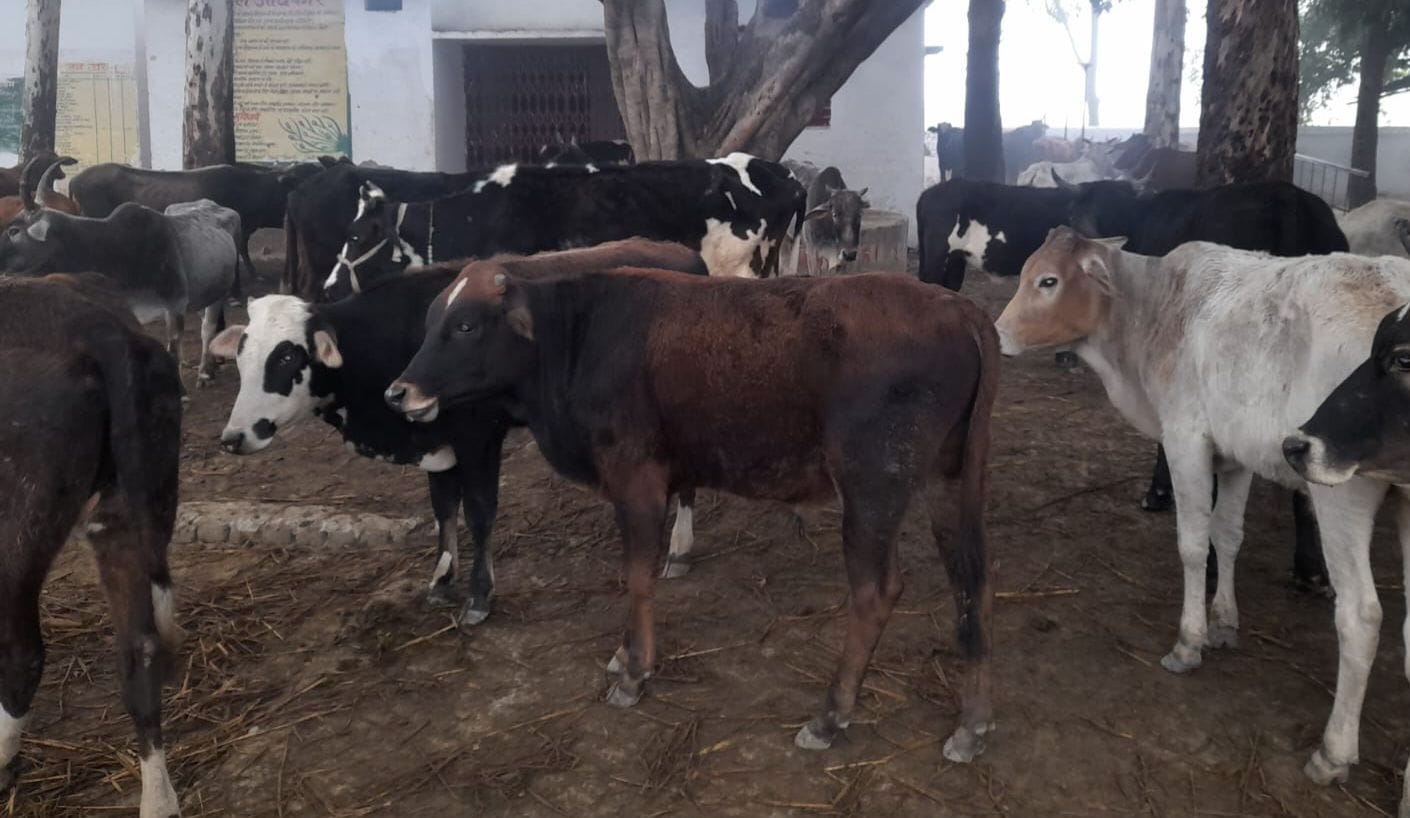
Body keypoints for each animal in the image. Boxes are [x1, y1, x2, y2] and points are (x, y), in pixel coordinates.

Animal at [0, 201, 238, 381]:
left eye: (14, 231)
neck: (114, 249)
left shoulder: (175, 303)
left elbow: (172, 348)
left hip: (219, 291)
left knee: (207, 329)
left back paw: (205, 372)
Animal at [0, 275, 184, 818]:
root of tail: (92, 322)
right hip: (132, 509)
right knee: (139, 649)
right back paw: (159, 800)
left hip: (17, 524)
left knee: (24, 653)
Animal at [210, 240, 709, 623]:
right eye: (242, 355)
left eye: (287, 357)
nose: (234, 437)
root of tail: (681, 253)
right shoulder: (436, 443)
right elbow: (443, 510)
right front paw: (441, 579)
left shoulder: (479, 441)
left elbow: (479, 514)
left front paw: (479, 595)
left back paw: (679, 548)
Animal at [385, 262, 1000, 766]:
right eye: (432, 320)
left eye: (466, 325)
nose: (398, 392)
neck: (579, 336)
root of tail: (958, 306)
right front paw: (622, 655)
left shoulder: (637, 480)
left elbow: (638, 577)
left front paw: (635, 672)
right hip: (949, 480)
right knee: (970, 580)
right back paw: (972, 724)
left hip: (872, 486)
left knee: (876, 593)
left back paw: (830, 716)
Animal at [995, 227, 1410, 817]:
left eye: (1047, 281)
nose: (998, 332)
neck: (1154, 306)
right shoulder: (1234, 457)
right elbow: (1228, 536)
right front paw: (1223, 622)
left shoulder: (1185, 439)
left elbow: (1194, 544)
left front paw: (1189, 641)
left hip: (1342, 494)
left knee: (1361, 616)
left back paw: (1333, 754)